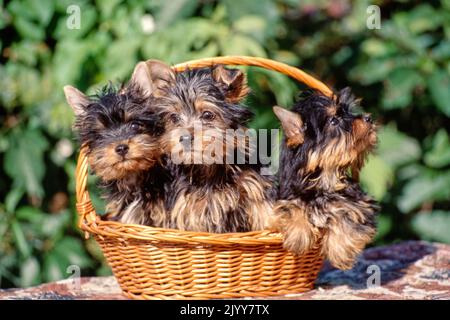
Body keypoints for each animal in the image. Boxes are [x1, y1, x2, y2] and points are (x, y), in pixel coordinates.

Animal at [272, 89, 378, 268]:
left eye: (348, 111)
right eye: (334, 120)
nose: (368, 118)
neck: (326, 178)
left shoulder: (359, 203)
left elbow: (345, 213)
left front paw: (341, 251)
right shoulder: (289, 196)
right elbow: (294, 206)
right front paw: (298, 236)